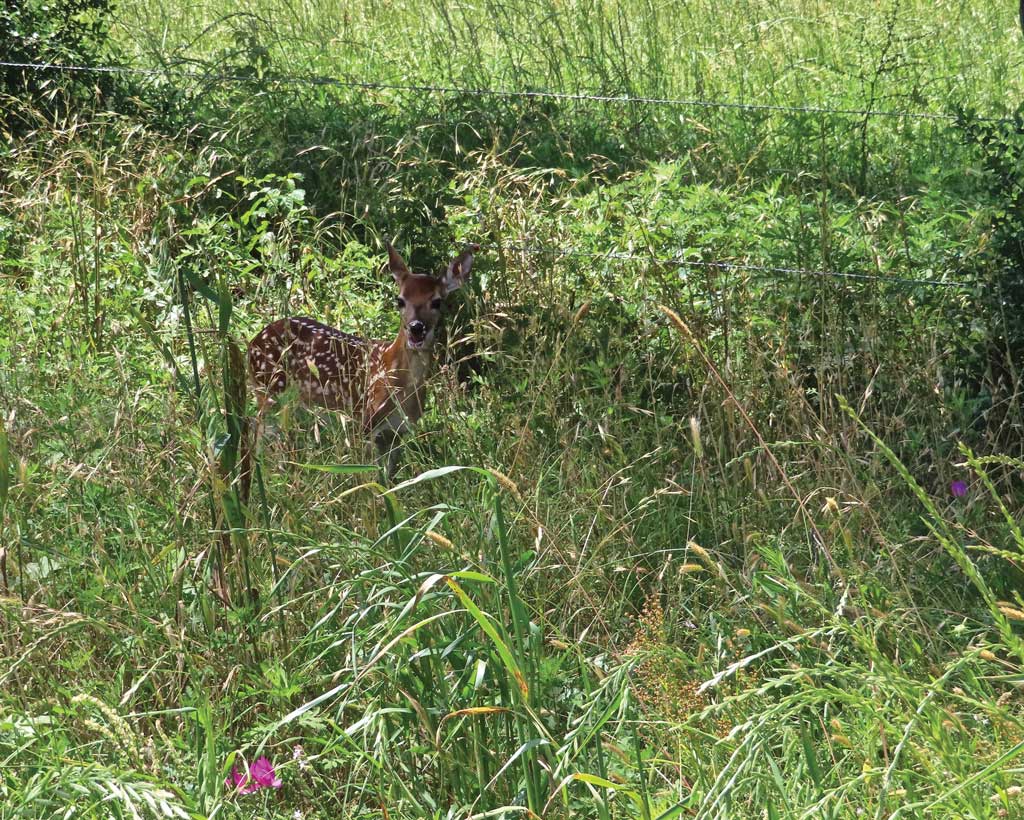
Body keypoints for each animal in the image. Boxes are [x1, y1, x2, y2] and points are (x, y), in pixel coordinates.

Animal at [247, 241, 479, 478]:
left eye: (437, 302)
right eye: (400, 300)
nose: (416, 328)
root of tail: (253, 341)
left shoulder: (398, 431)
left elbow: (388, 479)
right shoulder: (364, 421)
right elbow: (368, 476)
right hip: (269, 391)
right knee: (259, 433)